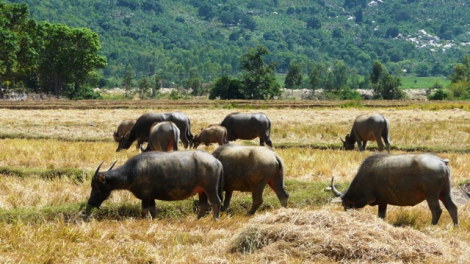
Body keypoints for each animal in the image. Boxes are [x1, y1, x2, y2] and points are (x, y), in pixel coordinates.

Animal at [86, 150, 224, 220]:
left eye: (95, 186)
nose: (90, 202)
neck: (132, 172)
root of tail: (217, 161)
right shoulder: (151, 197)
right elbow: (153, 211)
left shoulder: (146, 196)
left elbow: (144, 211)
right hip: (202, 191)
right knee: (205, 204)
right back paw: (198, 219)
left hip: (210, 188)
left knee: (215, 202)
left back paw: (215, 219)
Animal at [328, 154, 458, 226]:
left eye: (344, 204)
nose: (345, 212)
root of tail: (442, 161)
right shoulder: (382, 202)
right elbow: (381, 215)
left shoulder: (366, 199)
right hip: (444, 193)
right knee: (452, 207)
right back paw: (455, 226)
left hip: (431, 195)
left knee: (436, 210)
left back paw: (432, 225)